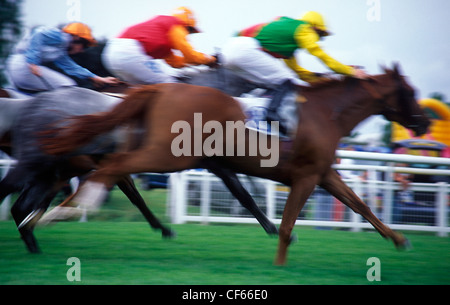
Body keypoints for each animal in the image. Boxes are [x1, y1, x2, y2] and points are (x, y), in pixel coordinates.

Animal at [43, 64, 432, 264]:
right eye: (411, 91)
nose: (425, 121)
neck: (327, 114)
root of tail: (160, 89)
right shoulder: (306, 177)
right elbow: (287, 225)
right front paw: (279, 264)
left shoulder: (324, 174)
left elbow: (361, 205)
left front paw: (400, 239)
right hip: (168, 154)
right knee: (114, 168)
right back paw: (71, 209)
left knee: (111, 171)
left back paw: (59, 212)